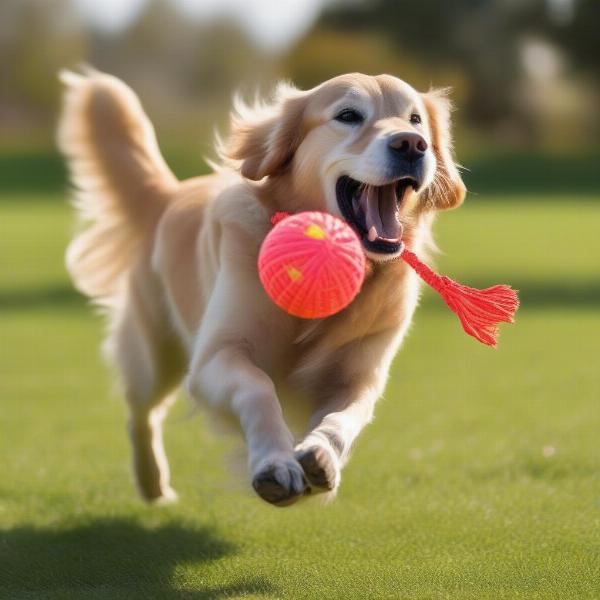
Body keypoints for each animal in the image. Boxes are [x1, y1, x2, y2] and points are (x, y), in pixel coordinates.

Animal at [59, 67, 464, 506]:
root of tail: (170, 193)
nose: (411, 144)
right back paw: (153, 485)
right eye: (348, 115)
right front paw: (274, 463)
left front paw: (320, 454)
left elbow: (344, 419)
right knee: (141, 413)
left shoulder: (361, 376)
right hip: (155, 354)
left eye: (415, 120)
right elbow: (257, 388)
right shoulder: (216, 356)